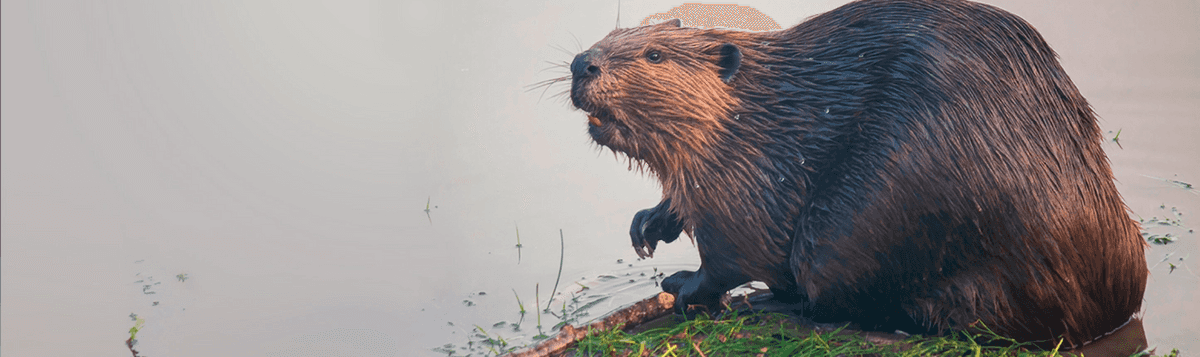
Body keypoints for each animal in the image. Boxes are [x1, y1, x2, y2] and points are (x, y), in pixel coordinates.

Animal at [566, 0, 1147, 349]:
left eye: (654, 54)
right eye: (612, 35)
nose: (581, 64)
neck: (758, 109)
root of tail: (1116, 304)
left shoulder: (751, 173)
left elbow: (734, 250)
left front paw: (683, 284)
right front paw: (647, 226)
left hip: (872, 217)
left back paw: (781, 305)